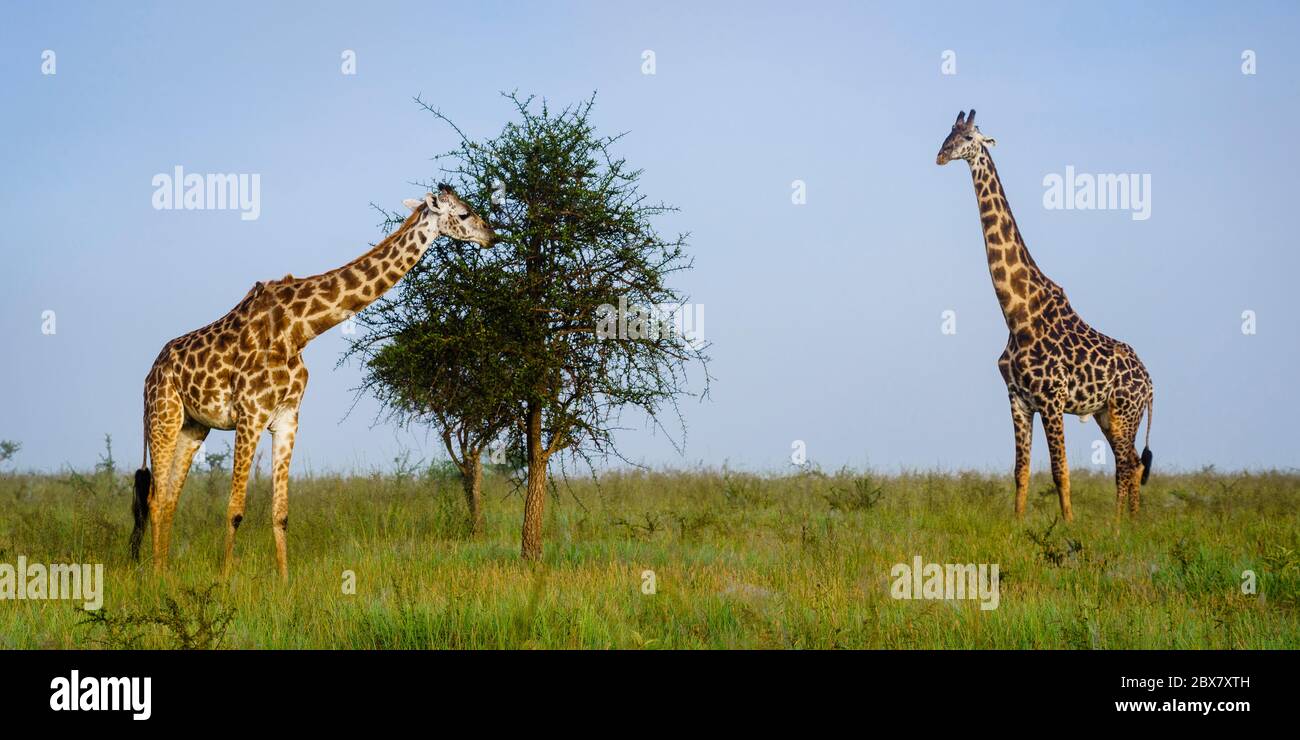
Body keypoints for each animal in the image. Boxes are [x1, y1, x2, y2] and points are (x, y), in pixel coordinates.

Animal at [130, 184, 496, 577]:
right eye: (463, 213)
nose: (491, 235)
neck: (299, 330)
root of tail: (150, 372)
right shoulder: (250, 415)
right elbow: (235, 510)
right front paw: (225, 580)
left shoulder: (287, 417)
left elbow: (280, 513)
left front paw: (284, 581)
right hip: (163, 416)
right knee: (154, 498)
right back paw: (156, 577)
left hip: (194, 426)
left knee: (169, 497)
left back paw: (165, 572)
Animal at [935, 112, 1159, 522]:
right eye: (948, 133)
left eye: (970, 138)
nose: (941, 156)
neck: (1017, 313)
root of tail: (1150, 384)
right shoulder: (1018, 398)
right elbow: (1020, 471)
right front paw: (1016, 524)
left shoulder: (1052, 399)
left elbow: (1060, 470)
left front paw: (1068, 525)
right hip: (1107, 414)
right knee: (1133, 464)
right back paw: (1132, 524)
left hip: (1125, 410)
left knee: (1126, 465)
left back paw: (1120, 526)